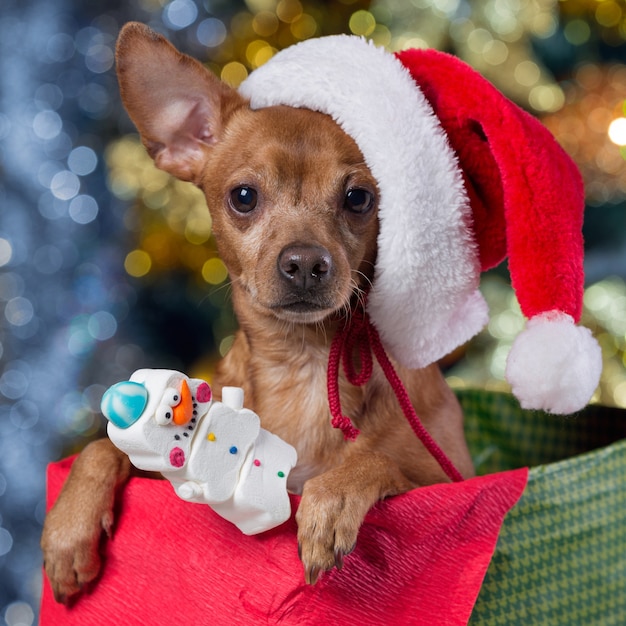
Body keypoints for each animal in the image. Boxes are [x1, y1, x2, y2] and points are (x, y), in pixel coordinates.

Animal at [40, 23, 472, 600]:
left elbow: (377, 459)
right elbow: (100, 450)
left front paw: (331, 499)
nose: (306, 263)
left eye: (359, 198)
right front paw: (67, 529)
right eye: (243, 196)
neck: (303, 363)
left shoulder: (450, 476)